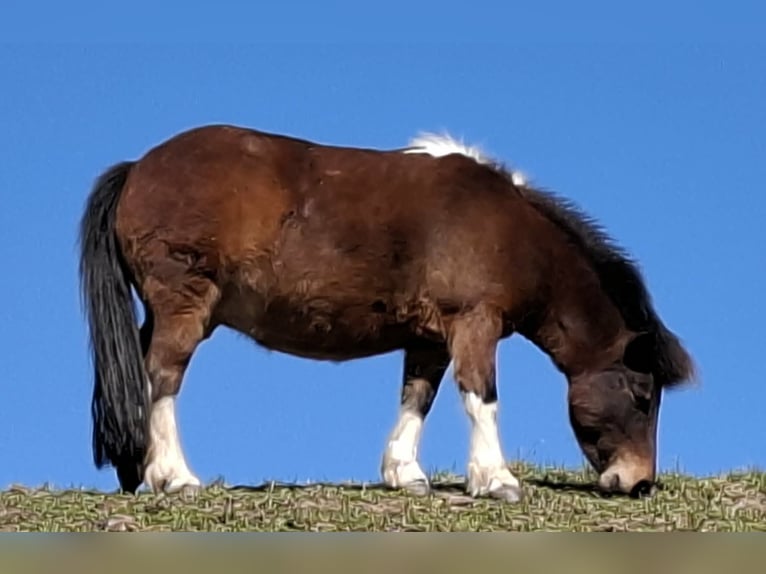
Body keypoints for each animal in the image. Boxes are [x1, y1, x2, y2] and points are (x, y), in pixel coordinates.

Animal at [78, 124, 695, 502]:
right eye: (643, 396)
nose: (639, 482)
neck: (510, 230)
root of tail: (139, 166)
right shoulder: (474, 322)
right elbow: (481, 398)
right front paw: (495, 479)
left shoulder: (429, 338)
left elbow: (417, 398)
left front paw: (405, 474)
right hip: (185, 308)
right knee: (160, 378)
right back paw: (175, 476)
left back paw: (139, 469)